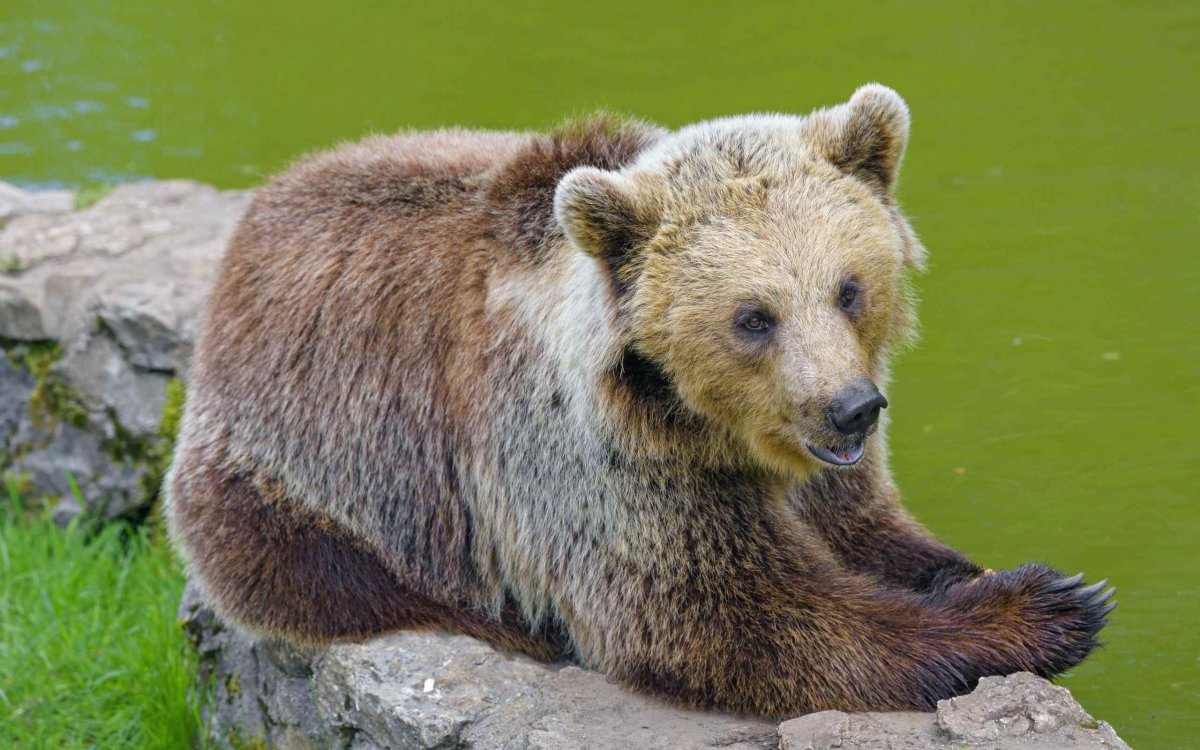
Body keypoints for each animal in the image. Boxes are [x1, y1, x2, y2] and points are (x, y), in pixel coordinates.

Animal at [165, 84, 1114, 718]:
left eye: (849, 288)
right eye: (753, 316)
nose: (849, 408)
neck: (710, 427)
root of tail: (249, 230)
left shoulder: (819, 470)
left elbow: (865, 527)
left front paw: (981, 572)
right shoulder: (590, 460)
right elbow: (723, 615)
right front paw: (1050, 607)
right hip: (296, 469)